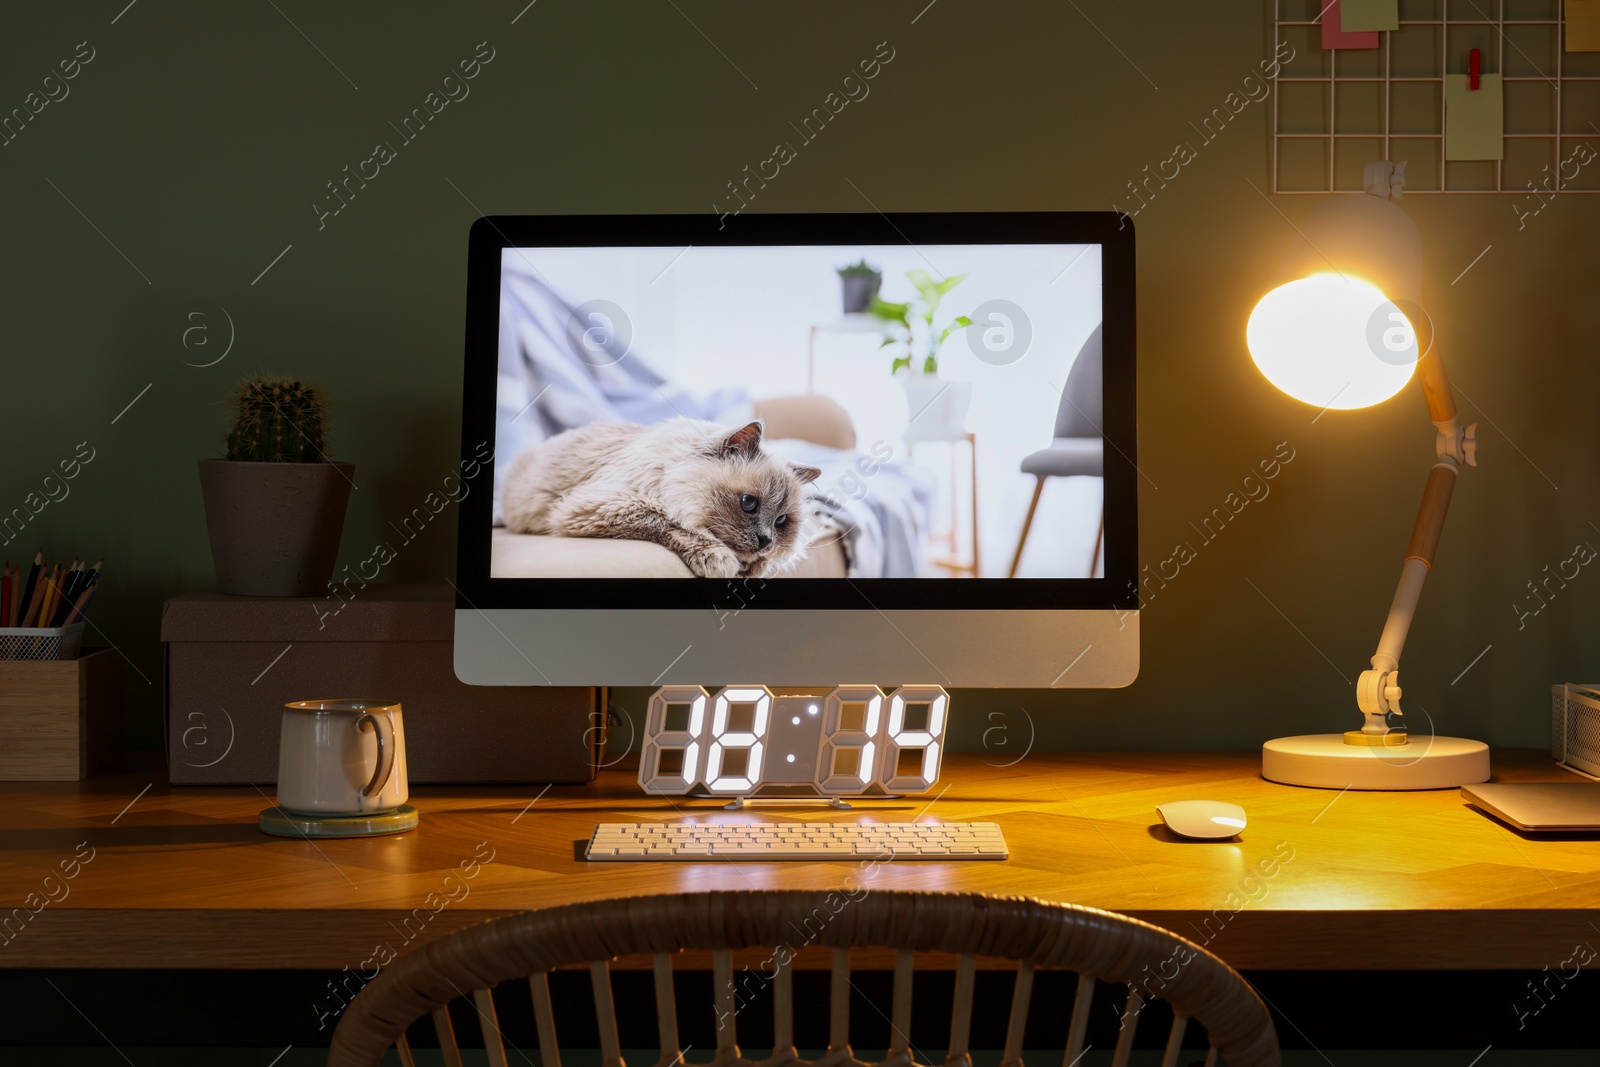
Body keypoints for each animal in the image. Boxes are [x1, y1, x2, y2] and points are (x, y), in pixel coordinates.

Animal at [502, 419, 825, 579]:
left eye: (781, 521)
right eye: (748, 503)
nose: (765, 541)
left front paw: (753, 566)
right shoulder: (601, 505)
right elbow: (668, 521)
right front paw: (721, 559)